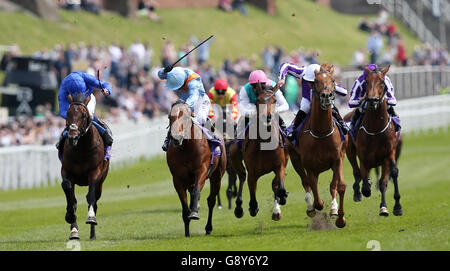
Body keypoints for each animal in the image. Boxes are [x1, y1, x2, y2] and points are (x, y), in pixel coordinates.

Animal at [60, 94, 110, 240]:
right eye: (68, 113)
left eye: (83, 115)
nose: (72, 136)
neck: (81, 148)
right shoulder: (66, 171)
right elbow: (70, 194)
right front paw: (70, 217)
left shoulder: (95, 172)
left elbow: (91, 196)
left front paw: (91, 218)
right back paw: (74, 231)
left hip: (102, 180)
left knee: (94, 199)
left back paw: (92, 234)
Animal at [166, 101, 227, 237]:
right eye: (170, 117)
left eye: (186, 117)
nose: (176, 138)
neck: (186, 149)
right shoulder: (177, 179)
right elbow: (184, 204)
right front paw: (187, 232)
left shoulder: (202, 171)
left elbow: (197, 191)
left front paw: (194, 212)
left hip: (217, 176)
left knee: (211, 200)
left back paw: (208, 228)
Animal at [230, 84, 290, 222]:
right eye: (258, 101)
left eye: (274, 100)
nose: (267, 117)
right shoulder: (252, 172)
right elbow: (252, 198)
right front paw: (252, 208)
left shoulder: (280, 165)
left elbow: (279, 187)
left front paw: (281, 200)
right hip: (234, 156)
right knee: (242, 177)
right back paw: (238, 208)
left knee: (274, 185)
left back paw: (276, 210)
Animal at [288, 63, 348, 230]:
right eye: (315, 82)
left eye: (333, 80)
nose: (326, 96)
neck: (321, 132)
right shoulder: (309, 165)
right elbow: (315, 192)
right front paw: (315, 206)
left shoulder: (338, 159)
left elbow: (340, 186)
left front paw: (340, 218)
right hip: (295, 159)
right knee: (306, 183)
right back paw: (310, 208)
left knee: (333, 185)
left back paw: (333, 209)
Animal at [346, 66, 402, 217]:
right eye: (366, 82)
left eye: (382, 82)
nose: (372, 100)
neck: (376, 129)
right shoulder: (364, 157)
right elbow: (365, 184)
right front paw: (365, 189)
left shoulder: (388, 155)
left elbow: (385, 181)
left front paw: (389, 207)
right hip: (350, 152)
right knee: (356, 172)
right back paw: (357, 193)